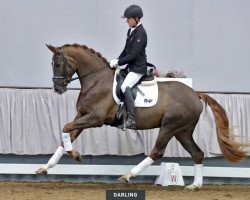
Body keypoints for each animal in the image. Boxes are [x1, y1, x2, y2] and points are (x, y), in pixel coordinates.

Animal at [35, 43, 248, 191]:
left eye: (58, 63)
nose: (57, 89)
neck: (96, 80)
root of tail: (195, 94)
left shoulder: (95, 119)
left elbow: (65, 128)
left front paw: (75, 155)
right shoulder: (82, 116)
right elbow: (66, 136)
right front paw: (46, 167)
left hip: (169, 126)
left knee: (157, 152)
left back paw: (128, 176)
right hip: (183, 131)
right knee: (197, 153)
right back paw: (195, 186)